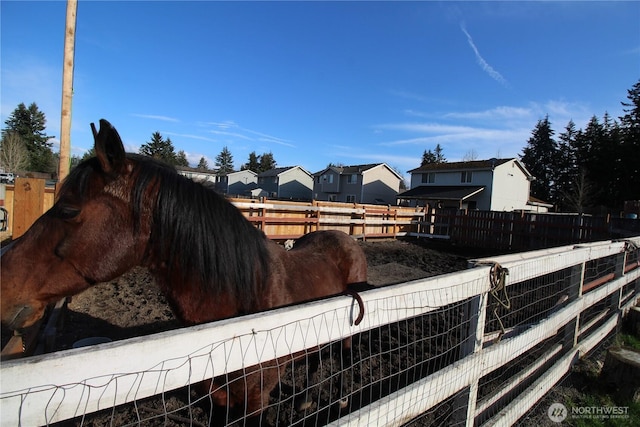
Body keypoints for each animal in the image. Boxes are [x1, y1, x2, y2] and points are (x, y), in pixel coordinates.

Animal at [0, 120, 368, 422]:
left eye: (67, 209)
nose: (4, 285)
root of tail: (344, 238)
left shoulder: (255, 399)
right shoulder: (218, 397)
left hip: (349, 334)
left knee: (344, 358)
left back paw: (340, 400)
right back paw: (306, 400)